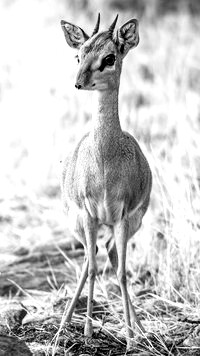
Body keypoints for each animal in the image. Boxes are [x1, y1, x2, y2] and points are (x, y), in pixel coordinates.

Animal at [60, 13, 152, 348]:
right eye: (79, 54)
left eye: (109, 57)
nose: (78, 82)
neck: (104, 163)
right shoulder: (89, 215)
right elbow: (94, 269)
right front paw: (87, 330)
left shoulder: (122, 217)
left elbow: (123, 272)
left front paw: (130, 337)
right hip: (80, 222)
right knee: (92, 259)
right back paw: (66, 322)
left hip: (126, 224)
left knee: (110, 255)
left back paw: (137, 327)